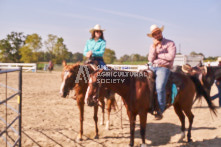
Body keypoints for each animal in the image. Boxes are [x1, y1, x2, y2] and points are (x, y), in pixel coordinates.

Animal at [84, 69, 216, 147]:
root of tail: (188, 77)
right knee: (182, 118)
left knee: (191, 117)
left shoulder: (142, 112)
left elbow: (142, 129)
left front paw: (143, 144)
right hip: (177, 105)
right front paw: (131, 143)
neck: (132, 87)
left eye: (95, 83)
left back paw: (188, 137)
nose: (88, 101)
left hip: (186, 105)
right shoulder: (130, 112)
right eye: (88, 83)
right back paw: (181, 137)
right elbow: (132, 129)